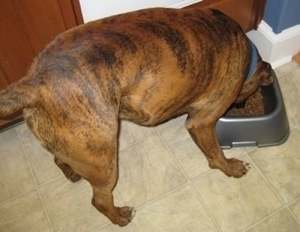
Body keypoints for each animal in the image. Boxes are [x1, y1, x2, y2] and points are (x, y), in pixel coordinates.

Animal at [0, 7, 272, 227]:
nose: (242, 103)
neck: (249, 57)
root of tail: (34, 82)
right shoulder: (202, 123)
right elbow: (216, 154)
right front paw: (230, 167)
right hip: (105, 163)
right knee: (99, 201)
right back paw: (119, 217)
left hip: (76, 147)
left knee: (59, 159)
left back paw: (72, 173)